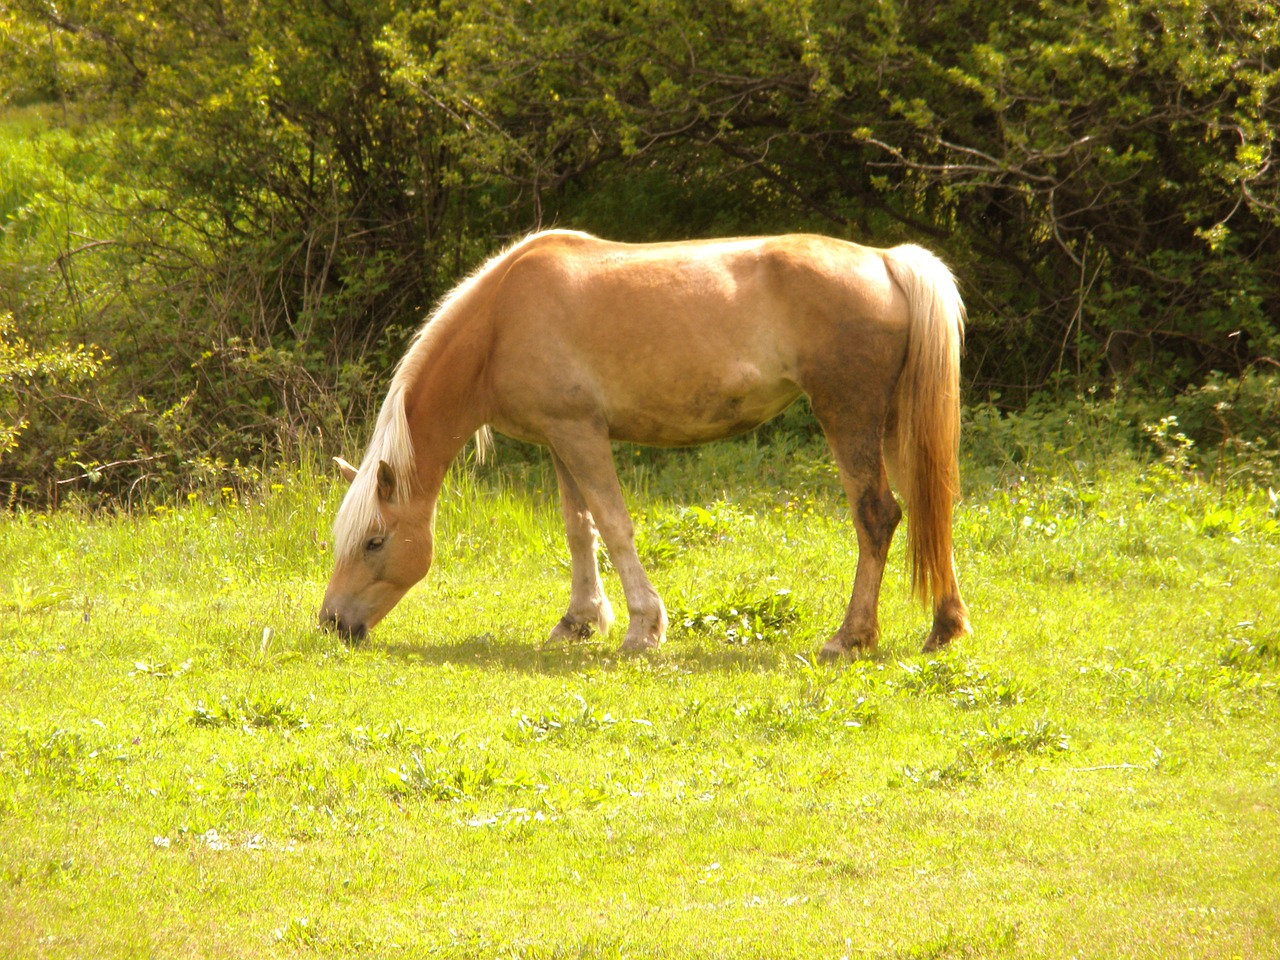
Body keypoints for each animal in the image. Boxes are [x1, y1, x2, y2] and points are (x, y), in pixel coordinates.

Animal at [320, 229, 967, 660]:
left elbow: (613, 524)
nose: (331, 623)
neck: (500, 321)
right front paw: (579, 621)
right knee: (928, 511)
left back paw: (850, 637)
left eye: (374, 541)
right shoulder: (559, 439)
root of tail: (886, 261)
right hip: (893, 425)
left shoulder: (581, 434)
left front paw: (642, 627)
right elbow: (578, 527)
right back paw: (945, 626)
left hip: (848, 417)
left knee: (876, 516)